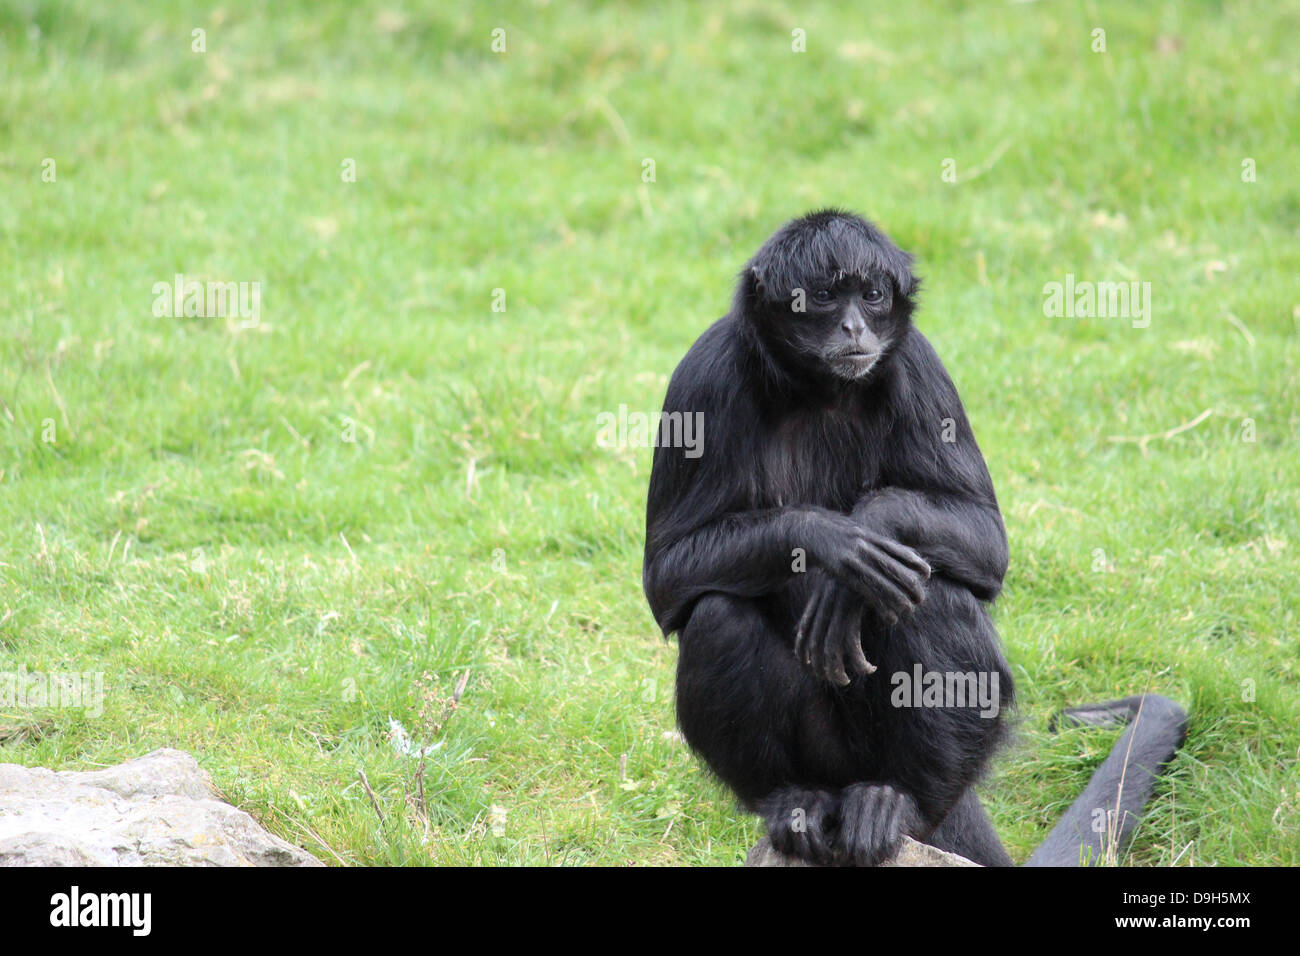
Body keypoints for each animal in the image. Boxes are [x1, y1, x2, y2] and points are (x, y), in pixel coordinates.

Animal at [642, 209, 1190, 868]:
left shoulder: (919, 368)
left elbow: (987, 543)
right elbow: (667, 578)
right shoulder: (704, 376)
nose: (854, 325)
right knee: (718, 613)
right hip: (828, 754)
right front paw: (832, 540)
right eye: (824, 297)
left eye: (872, 295)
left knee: (932, 593)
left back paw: (895, 803)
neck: (820, 392)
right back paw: (794, 803)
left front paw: (872, 527)